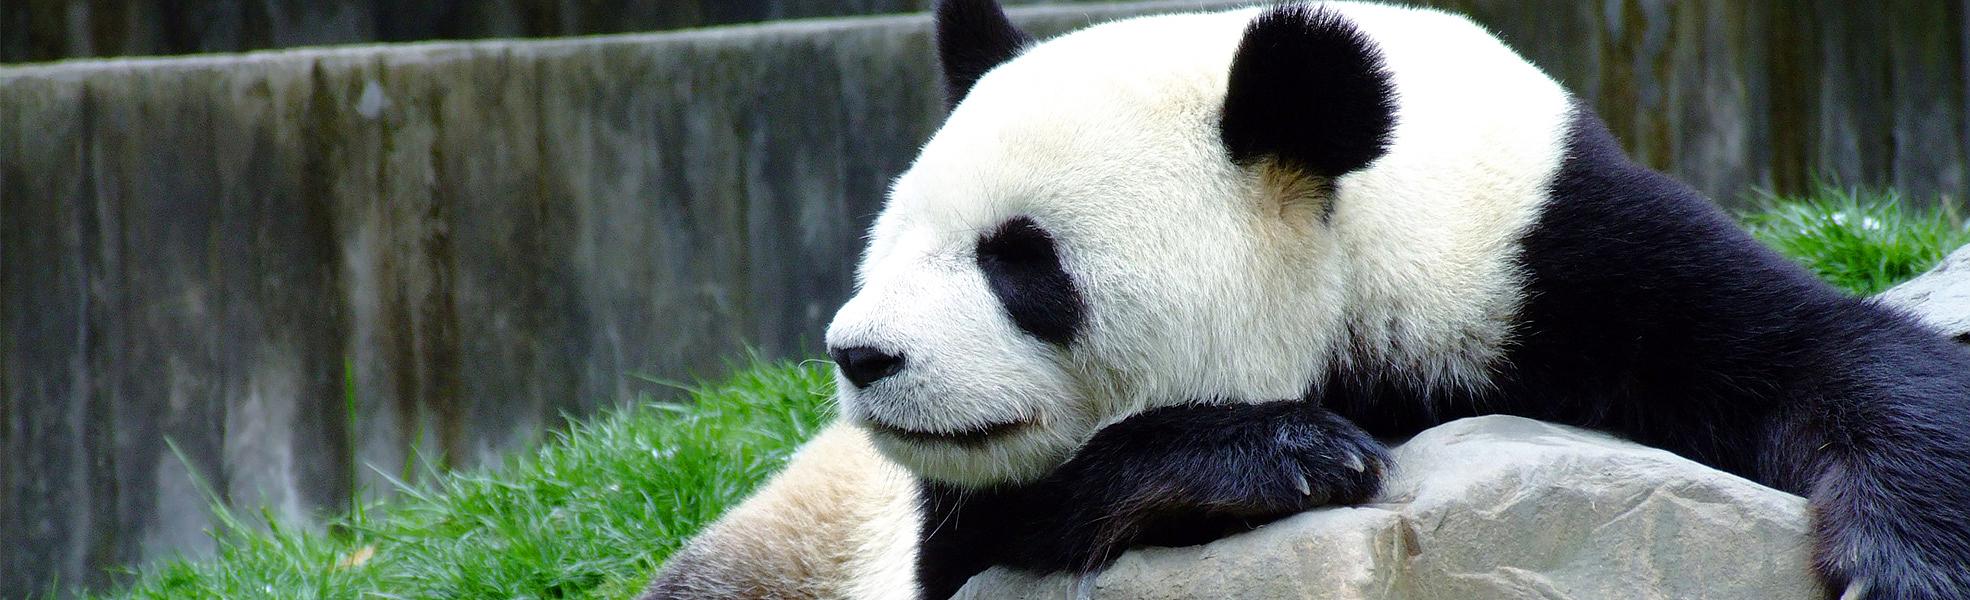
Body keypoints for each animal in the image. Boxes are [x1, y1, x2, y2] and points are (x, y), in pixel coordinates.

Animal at [644, 1, 1970, 599]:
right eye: (895, 241)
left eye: (1020, 262)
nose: (860, 357)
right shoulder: (922, 532)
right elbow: (997, 526)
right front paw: (1282, 454)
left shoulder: (1546, 249)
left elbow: (1824, 355)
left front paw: (1902, 564)